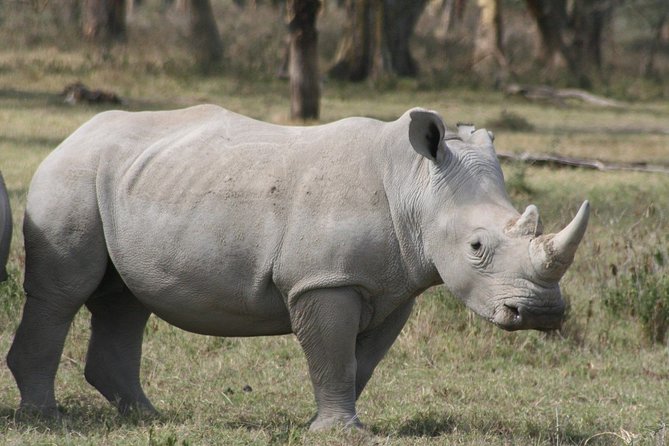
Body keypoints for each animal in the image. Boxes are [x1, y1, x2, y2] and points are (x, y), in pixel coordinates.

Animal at [7, 106, 589, 430]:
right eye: (476, 246)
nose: (541, 313)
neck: (416, 185)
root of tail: (73, 134)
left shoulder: (393, 286)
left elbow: (360, 361)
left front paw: (327, 421)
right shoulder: (324, 280)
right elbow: (332, 354)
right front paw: (340, 432)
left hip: (129, 180)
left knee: (126, 299)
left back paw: (148, 416)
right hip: (70, 174)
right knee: (63, 293)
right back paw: (46, 417)